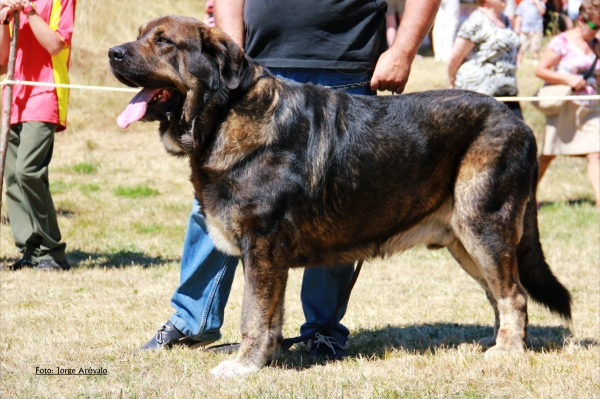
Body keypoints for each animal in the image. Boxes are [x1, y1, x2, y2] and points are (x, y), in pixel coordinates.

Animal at [109, 15, 572, 378]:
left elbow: (253, 315)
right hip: (465, 241)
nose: (114, 53)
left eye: (163, 41)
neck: (225, 115)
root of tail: (517, 121)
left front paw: (243, 366)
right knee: (500, 293)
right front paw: (264, 358)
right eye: (141, 34)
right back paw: (501, 341)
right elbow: (269, 315)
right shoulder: (268, 258)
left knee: (513, 294)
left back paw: (507, 352)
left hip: (483, 226)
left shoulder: (262, 247)